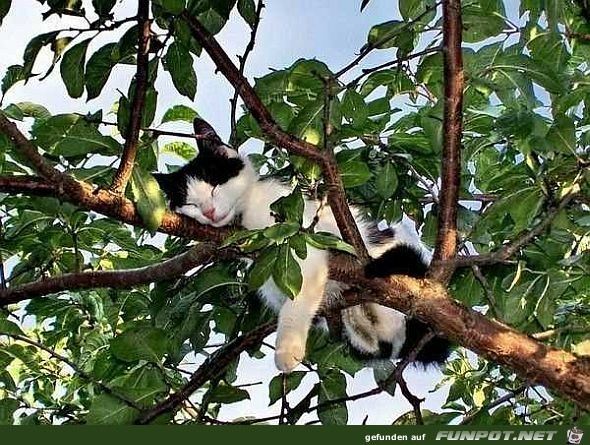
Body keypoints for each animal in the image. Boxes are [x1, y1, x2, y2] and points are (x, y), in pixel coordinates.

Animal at [155, 117, 450, 372]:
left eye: (215, 184)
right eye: (190, 204)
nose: (208, 212)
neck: (245, 214)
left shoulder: (299, 237)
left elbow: (296, 300)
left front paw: (287, 350)